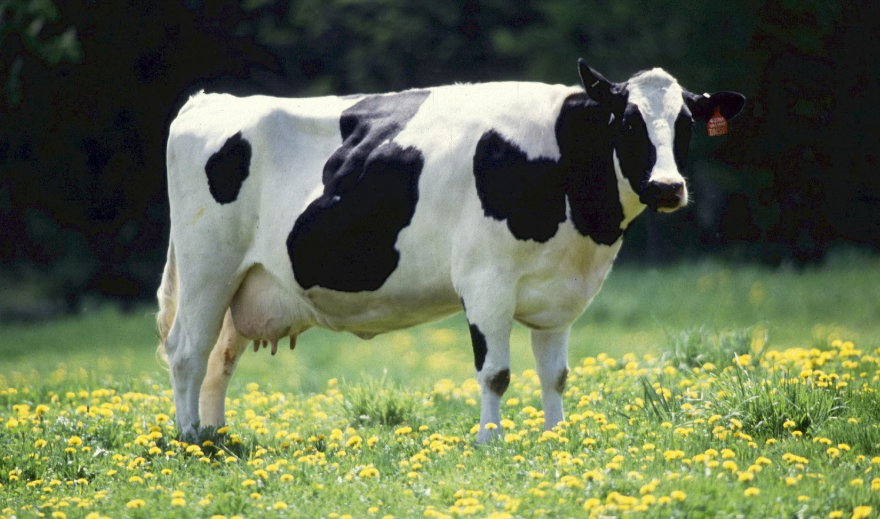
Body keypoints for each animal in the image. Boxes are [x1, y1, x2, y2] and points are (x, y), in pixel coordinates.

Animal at [156, 59, 745, 443]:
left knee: (219, 359)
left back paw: (217, 435)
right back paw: (190, 439)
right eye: (628, 121)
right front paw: (490, 442)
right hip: (208, 267)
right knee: (187, 351)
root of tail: (207, 101)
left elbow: (555, 375)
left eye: (686, 124)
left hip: (245, 283)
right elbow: (496, 373)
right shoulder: (486, 282)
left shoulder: (559, 295)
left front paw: (556, 437)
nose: (667, 187)